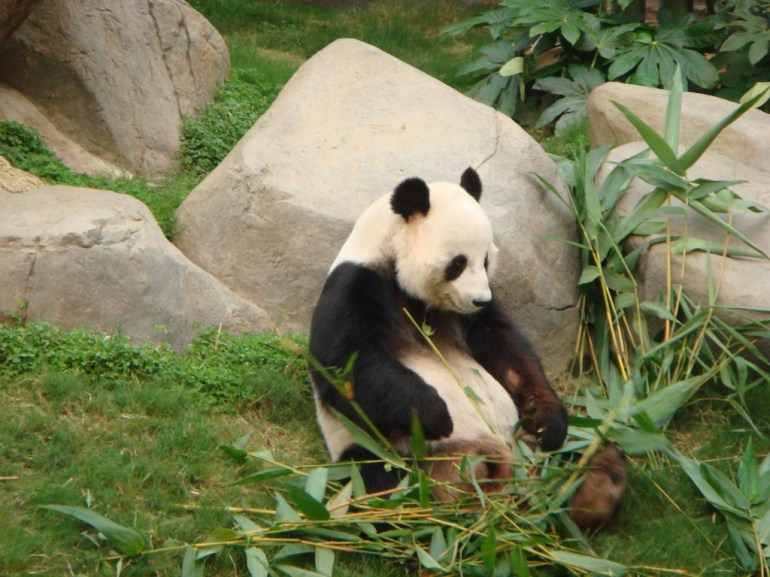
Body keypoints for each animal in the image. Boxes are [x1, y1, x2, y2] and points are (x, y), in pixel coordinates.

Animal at [308, 167, 572, 499]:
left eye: (486, 260)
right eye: (458, 263)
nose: (479, 300)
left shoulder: (471, 318)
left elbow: (508, 351)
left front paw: (547, 420)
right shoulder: (356, 286)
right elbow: (345, 367)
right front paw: (435, 414)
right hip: (385, 451)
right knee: (375, 478)